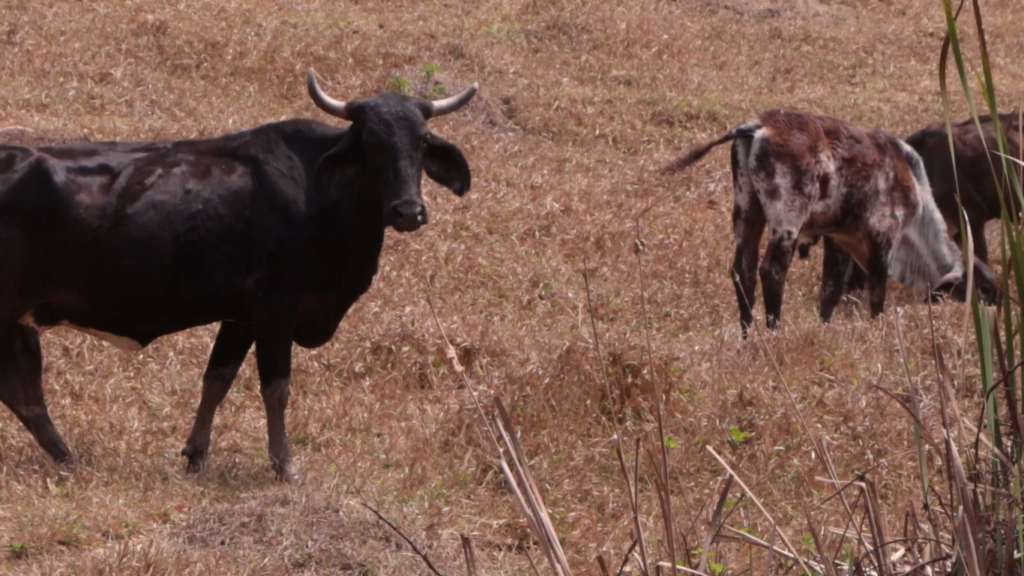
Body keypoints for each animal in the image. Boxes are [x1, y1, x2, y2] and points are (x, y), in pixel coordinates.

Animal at [0, 69, 478, 481]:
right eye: (371, 143)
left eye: (422, 140)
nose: (408, 211)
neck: (318, 193)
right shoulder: (275, 307)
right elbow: (276, 387)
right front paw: (285, 467)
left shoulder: (241, 316)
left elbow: (217, 379)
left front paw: (196, 456)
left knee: (25, 396)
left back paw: (67, 457)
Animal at [663, 110, 998, 337]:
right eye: (984, 291)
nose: (995, 312)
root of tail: (762, 124)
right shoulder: (883, 235)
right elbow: (877, 294)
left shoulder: (838, 238)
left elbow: (830, 291)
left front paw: (823, 327)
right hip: (787, 219)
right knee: (772, 270)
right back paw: (773, 333)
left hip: (747, 211)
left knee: (742, 270)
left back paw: (748, 335)